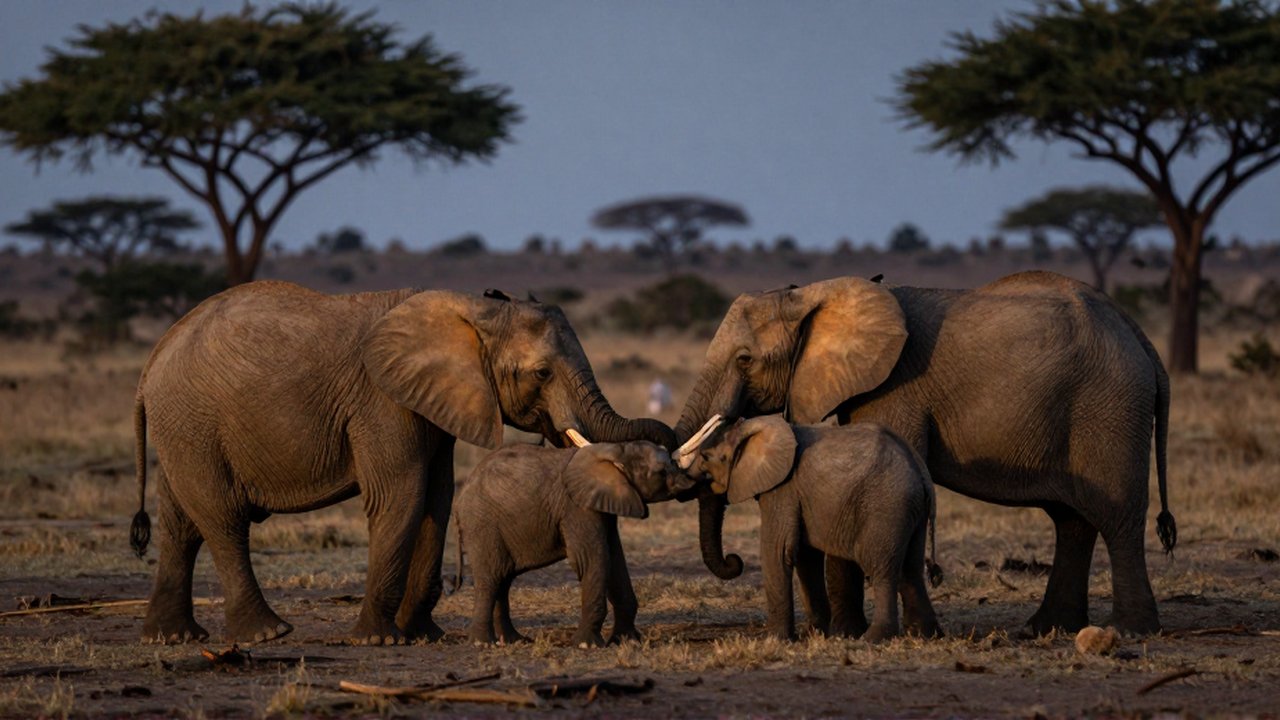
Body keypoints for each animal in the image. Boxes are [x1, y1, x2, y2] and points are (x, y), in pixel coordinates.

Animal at [456, 431, 693, 647]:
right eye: (661, 471)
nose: (690, 483)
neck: (615, 450)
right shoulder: (577, 507)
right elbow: (590, 558)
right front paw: (587, 645)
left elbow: (614, 558)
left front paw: (627, 642)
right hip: (482, 525)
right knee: (491, 577)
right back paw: (483, 643)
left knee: (502, 580)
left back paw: (514, 641)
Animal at [680, 415, 941, 642]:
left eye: (706, 457)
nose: (734, 559)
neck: (754, 426)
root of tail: (921, 472)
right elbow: (806, 556)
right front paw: (814, 634)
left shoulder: (782, 489)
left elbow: (778, 551)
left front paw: (776, 640)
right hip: (910, 510)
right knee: (910, 569)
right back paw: (925, 635)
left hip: (886, 507)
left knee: (881, 569)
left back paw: (873, 638)